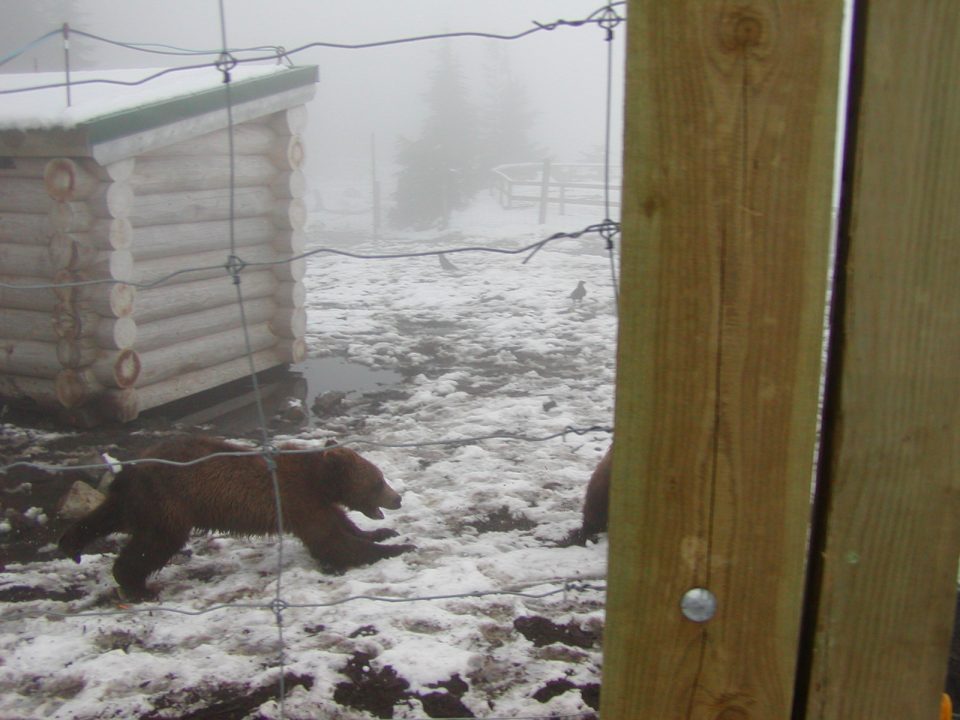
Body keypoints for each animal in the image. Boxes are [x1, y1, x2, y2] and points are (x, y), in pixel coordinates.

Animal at [59, 436, 412, 600]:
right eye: (378, 481)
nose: (397, 498)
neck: (320, 480)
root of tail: (133, 468)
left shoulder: (317, 503)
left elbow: (343, 526)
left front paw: (384, 533)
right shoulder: (298, 501)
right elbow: (332, 542)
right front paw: (399, 548)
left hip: (138, 499)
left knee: (108, 516)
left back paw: (71, 545)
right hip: (170, 500)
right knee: (155, 543)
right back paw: (137, 585)